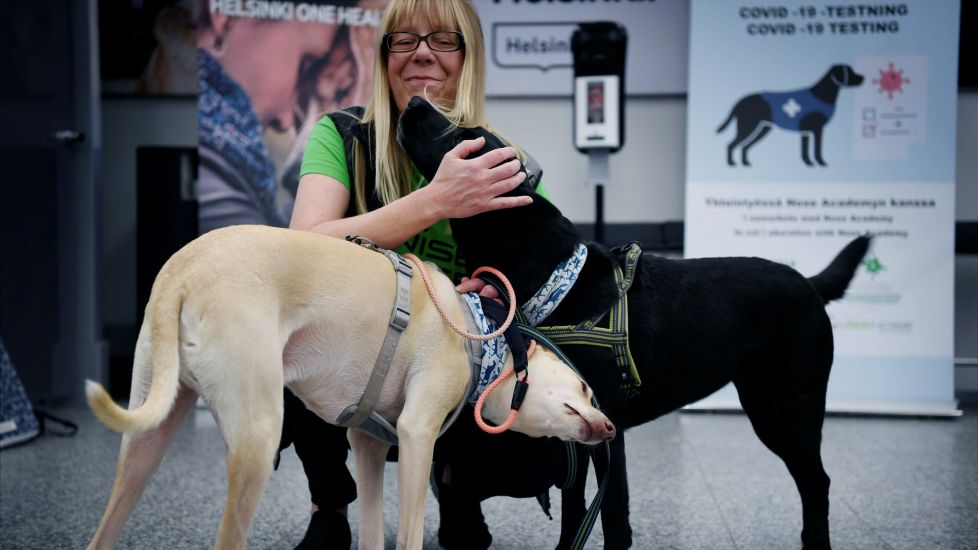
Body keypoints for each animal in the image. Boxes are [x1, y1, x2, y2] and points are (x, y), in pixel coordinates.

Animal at [87, 225, 612, 550]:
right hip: (258, 441)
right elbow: (409, 537)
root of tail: (182, 272)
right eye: (587, 389)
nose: (609, 428)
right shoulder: (417, 435)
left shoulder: (367, 446)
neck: (477, 332)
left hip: (146, 440)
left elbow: (374, 534)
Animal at [396, 97, 868, 548]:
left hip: (792, 407)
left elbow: (614, 517)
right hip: (764, 406)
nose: (414, 101)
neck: (558, 277)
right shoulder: (573, 426)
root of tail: (809, 283)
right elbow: (575, 510)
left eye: (465, 138)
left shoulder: (607, 427)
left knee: (817, 480)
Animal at [716, 63, 860, 167]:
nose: (863, 77)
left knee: (744, 146)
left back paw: (745, 163)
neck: (821, 95)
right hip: (748, 126)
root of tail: (740, 101)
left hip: (762, 128)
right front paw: (820, 162)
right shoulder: (817, 129)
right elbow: (816, 148)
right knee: (731, 144)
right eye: (850, 71)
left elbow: (805, 149)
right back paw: (732, 163)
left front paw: (808, 162)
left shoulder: (806, 131)